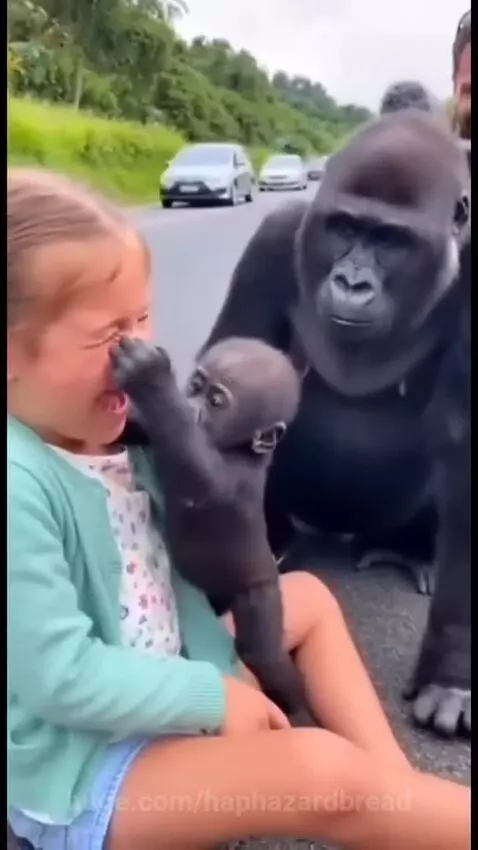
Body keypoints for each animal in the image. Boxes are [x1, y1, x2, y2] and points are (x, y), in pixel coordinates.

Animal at [110, 335, 315, 726]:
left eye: (216, 401)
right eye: (195, 386)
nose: (190, 405)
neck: (240, 446)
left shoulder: (235, 477)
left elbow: (204, 479)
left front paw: (149, 377)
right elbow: (143, 427)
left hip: (258, 587)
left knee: (262, 652)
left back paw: (297, 710)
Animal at [198, 111, 471, 739]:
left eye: (391, 241)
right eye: (345, 228)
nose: (352, 283)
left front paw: (451, 673)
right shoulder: (274, 237)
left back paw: (405, 547)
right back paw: (277, 539)